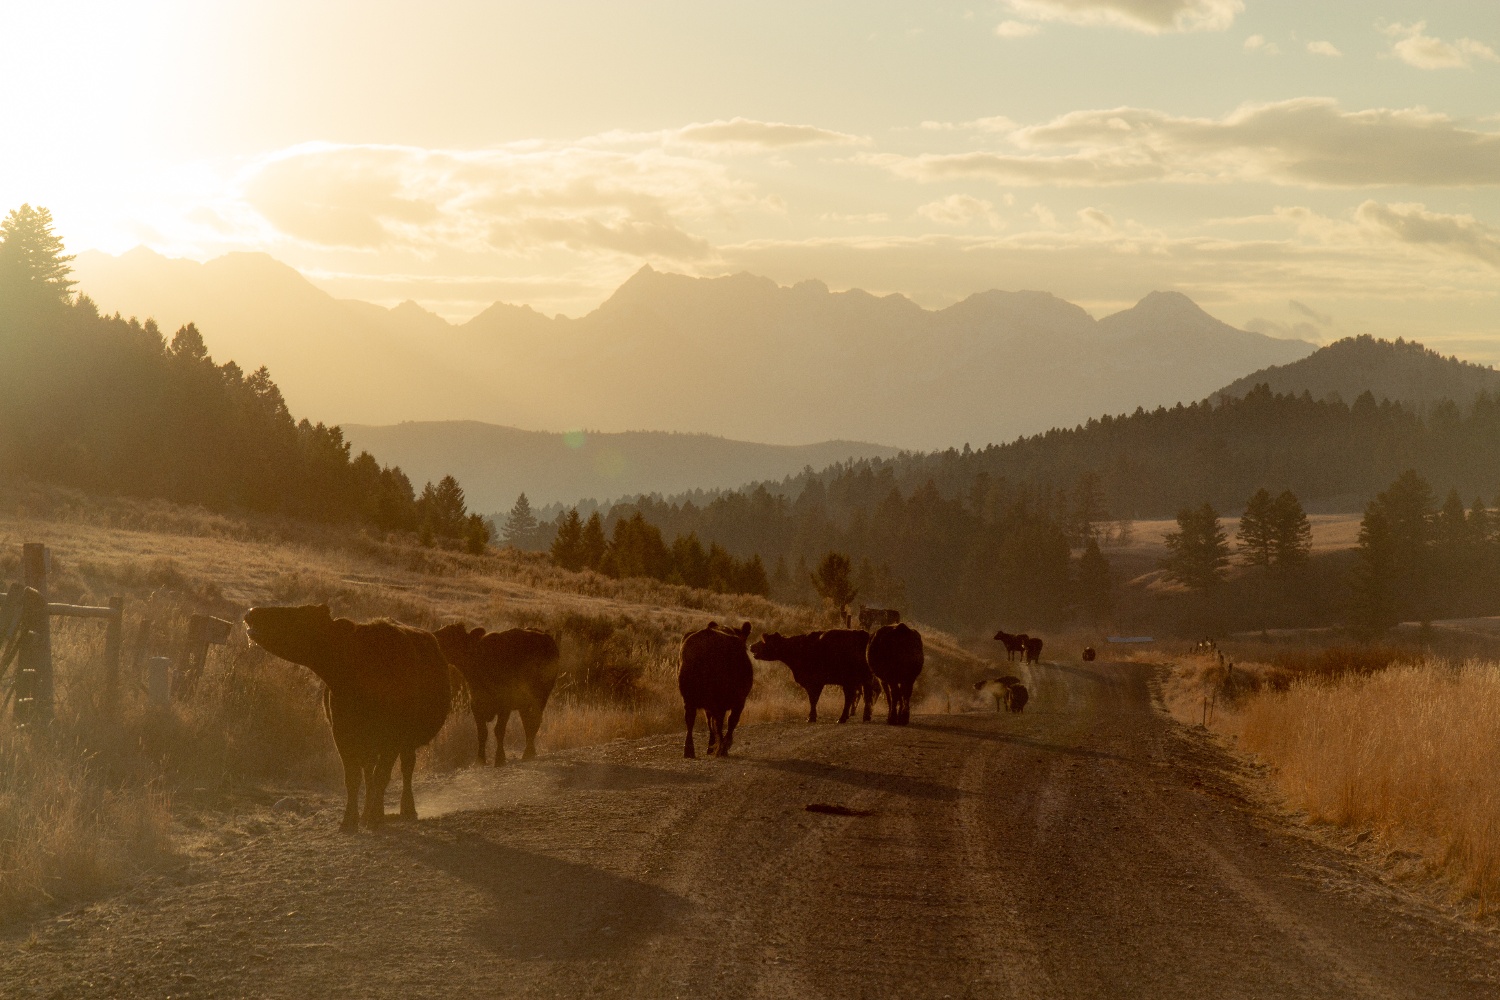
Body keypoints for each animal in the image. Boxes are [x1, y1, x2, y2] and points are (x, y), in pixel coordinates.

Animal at [241, 605, 444, 833]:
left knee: (405, 768)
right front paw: (350, 820)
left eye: (294, 614)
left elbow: (382, 777)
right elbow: (353, 779)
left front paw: (375, 818)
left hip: (405, 742)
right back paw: (368, 813)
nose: (251, 611)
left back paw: (406, 809)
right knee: (370, 773)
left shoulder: (391, 738)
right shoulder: (342, 734)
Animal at [435, 626, 564, 767]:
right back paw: (531, 751)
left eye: (451, 638)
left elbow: (499, 730)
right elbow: (482, 733)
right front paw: (479, 760)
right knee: (527, 723)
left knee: (535, 721)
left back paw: (528, 753)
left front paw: (499, 758)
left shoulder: (504, 706)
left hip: (540, 697)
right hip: (524, 704)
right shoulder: (476, 705)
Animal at [681, 617, 756, 758]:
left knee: (690, 719)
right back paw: (720, 748)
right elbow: (731, 721)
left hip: (689, 698)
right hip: (718, 699)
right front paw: (723, 746)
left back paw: (689, 750)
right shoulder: (740, 700)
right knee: (719, 722)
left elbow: (710, 722)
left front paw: (711, 747)